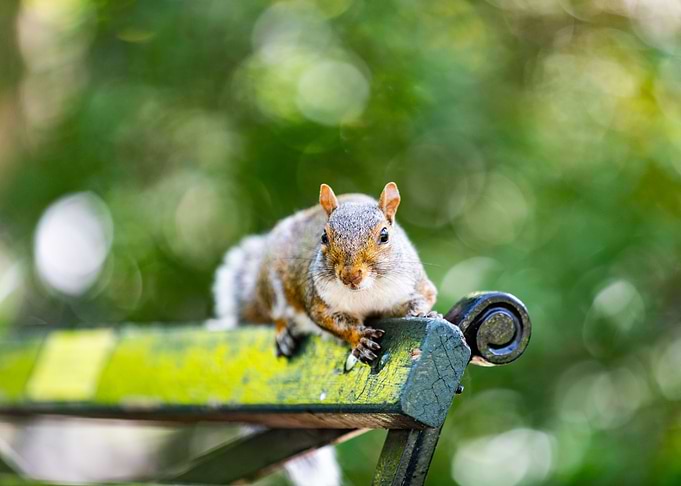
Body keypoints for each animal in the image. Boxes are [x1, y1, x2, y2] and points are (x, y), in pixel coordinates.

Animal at [212, 182, 438, 370]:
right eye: (323, 236)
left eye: (384, 235)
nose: (350, 276)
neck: (366, 292)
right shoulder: (319, 301)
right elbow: (332, 322)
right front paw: (359, 340)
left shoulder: (416, 285)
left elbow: (425, 298)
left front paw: (423, 313)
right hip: (270, 285)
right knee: (276, 313)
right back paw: (283, 332)